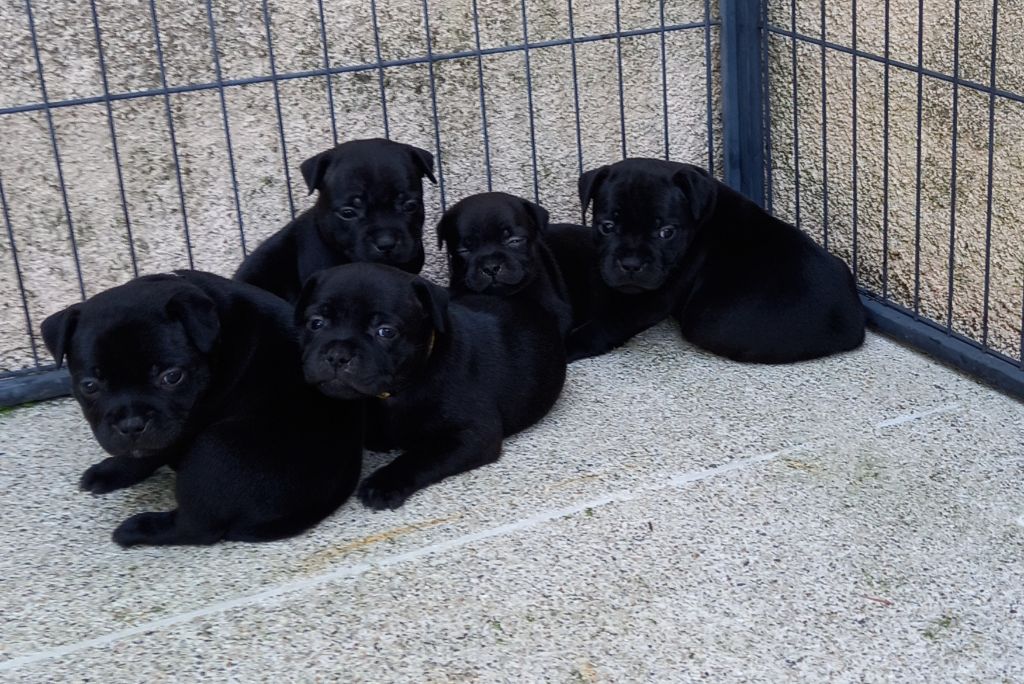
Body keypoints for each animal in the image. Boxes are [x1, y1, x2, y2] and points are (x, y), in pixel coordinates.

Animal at [41, 270, 362, 544]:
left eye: (172, 377)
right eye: (89, 386)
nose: (131, 425)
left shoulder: (181, 429)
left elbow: (145, 455)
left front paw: (116, 469)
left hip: (215, 447)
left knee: (195, 529)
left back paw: (137, 529)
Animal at [296, 264, 569, 509]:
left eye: (386, 332)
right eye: (315, 323)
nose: (337, 355)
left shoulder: (472, 435)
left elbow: (419, 456)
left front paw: (383, 484)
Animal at [552, 158, 864, 362]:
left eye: (666, 232)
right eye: (606, 227)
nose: (630, 264)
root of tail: (853, 323)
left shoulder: (653, 299)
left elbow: (608, 324)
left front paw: (568, 346)